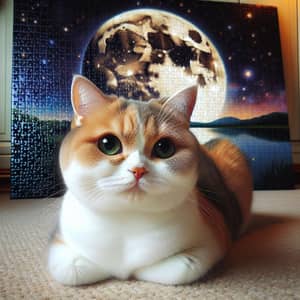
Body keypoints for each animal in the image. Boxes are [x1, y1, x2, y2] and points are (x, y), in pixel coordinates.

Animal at [47, 75, 253, 286]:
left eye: (164, 147)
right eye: (108, 144)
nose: (138, 170)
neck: (127, 220)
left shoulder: (214, 240)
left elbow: (181, 266)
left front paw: (135, 271)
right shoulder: (59, 241)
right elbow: (71, 269)